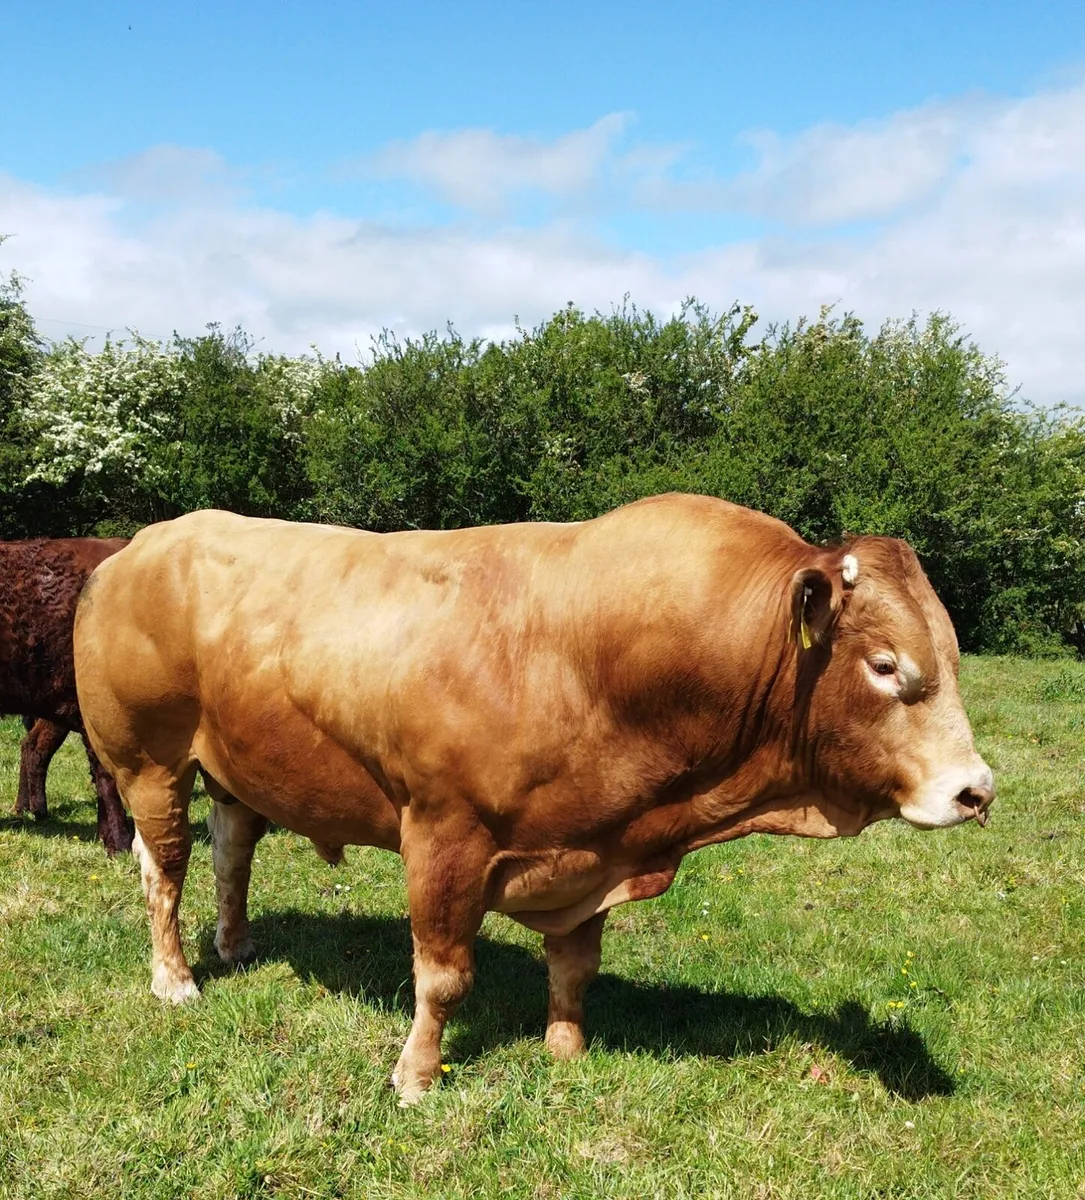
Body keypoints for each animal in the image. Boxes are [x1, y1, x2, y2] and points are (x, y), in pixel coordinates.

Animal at [73, 494, 993, 1102]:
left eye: (951, 654)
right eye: (885, 665)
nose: (975, 791)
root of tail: (141, 544)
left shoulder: (595, 841)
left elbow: (575, 964)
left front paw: (564, 1046)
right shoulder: (442, 835)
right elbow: (443, 977)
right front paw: (415, 1077)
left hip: (233, 766)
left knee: (232, 851)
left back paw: (234, 945)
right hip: (149, 761)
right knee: (165, 869)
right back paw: (176, 978)